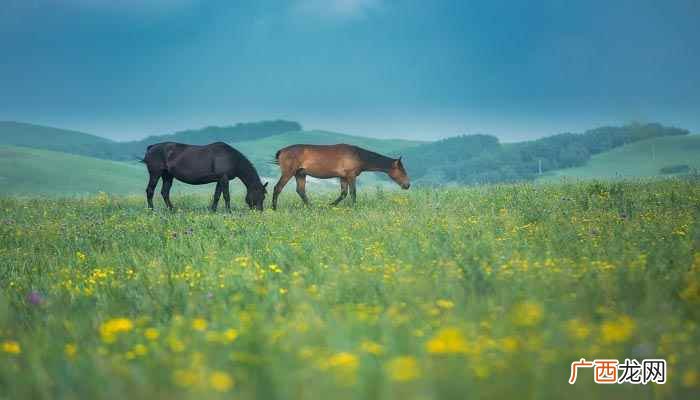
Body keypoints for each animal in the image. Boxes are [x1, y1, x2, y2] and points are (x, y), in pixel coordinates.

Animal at [271, 143, 410, 209]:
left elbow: (343, 193)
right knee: (277, 188)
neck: (358, 155)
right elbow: (353, 193)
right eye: (402, 171)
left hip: (300, 174)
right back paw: (274, 208)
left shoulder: (343, 177)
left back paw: (312, 207)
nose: (407, 185)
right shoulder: (351, 176)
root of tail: (282, 151)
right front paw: (354, 207)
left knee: (300, 191)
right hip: (289, 173)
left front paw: (330, 205)